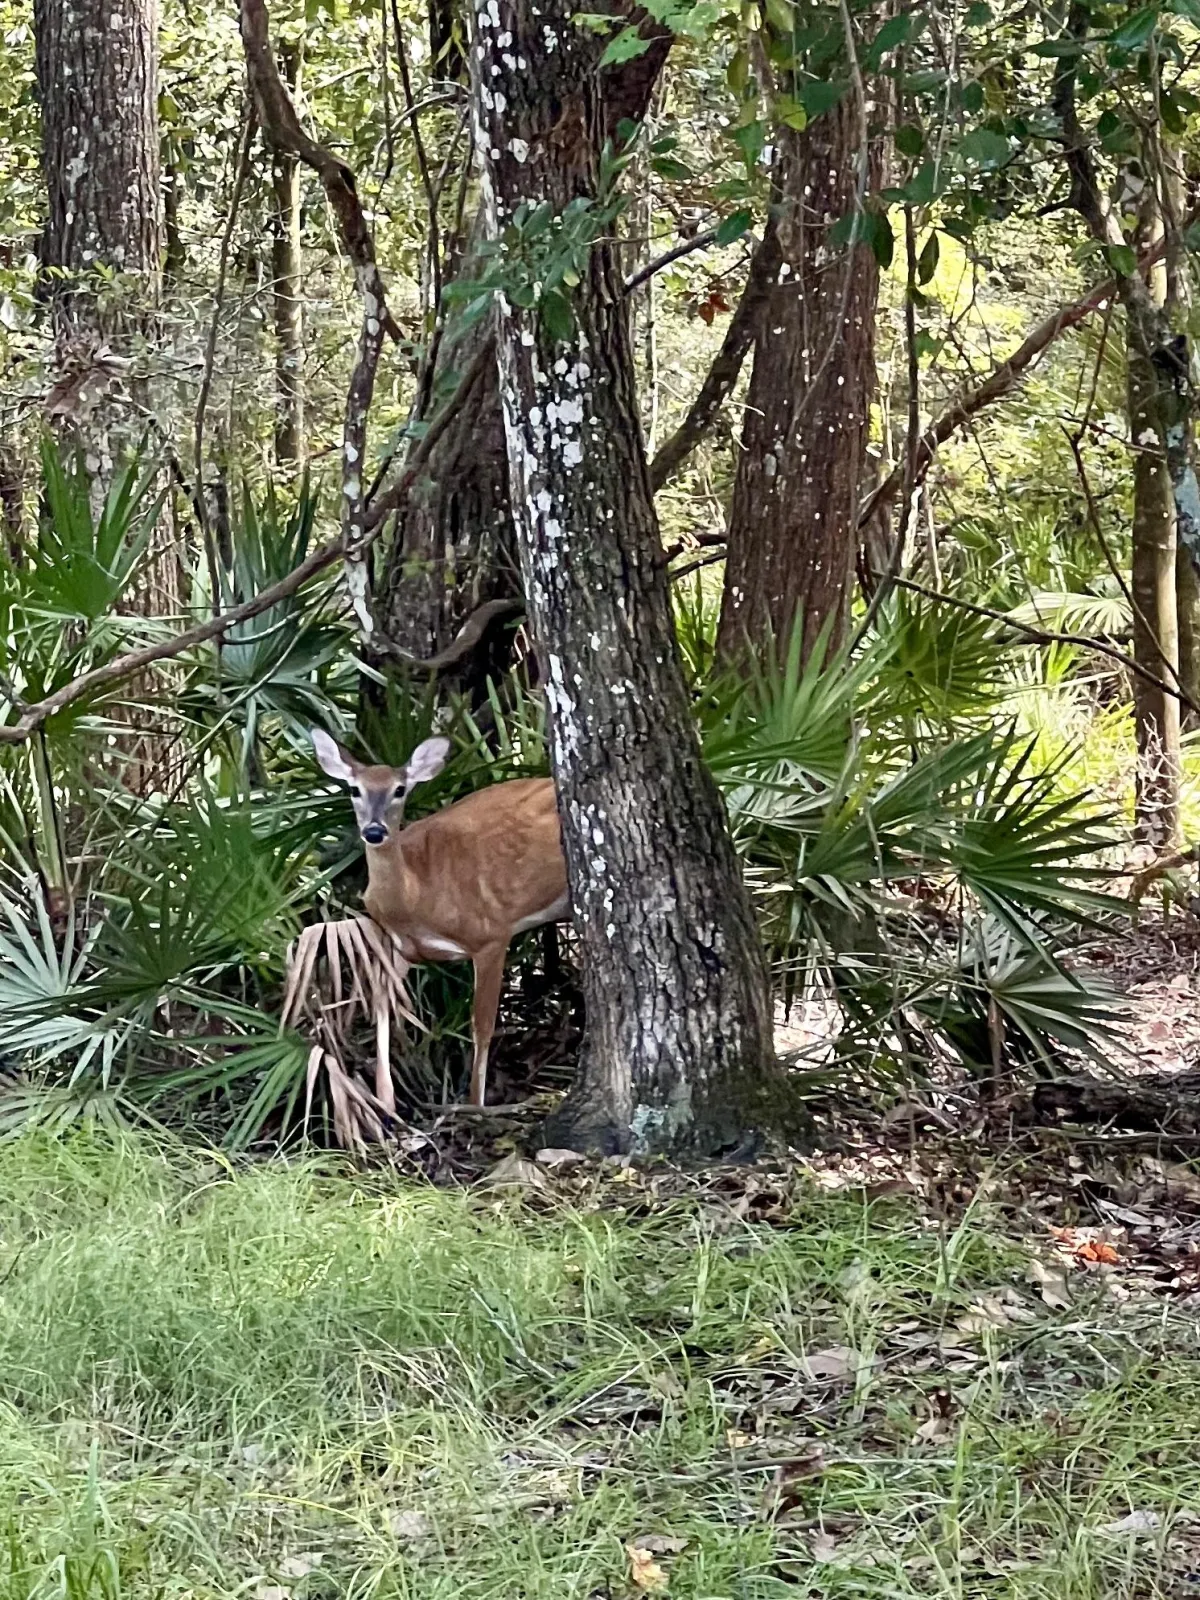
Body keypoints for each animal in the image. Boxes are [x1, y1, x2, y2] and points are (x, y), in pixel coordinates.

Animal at [309, 728, 569, 1108]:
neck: (416, 898)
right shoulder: (402, 948)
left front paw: (475, 1103)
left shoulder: (491, 934)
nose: (374, 831)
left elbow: (482, 1026)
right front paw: (385, 1100)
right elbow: (382, 1007)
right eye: (354, 789)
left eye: (399, 790)